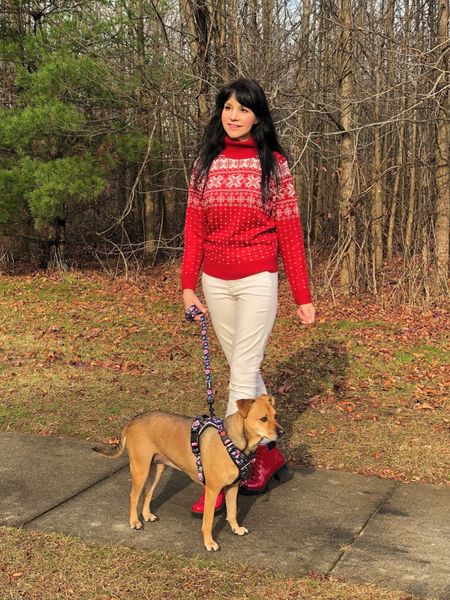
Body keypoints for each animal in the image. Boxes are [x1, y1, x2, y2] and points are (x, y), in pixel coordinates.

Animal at [93, 394, 284, 552]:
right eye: (263, 418)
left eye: (276, 416)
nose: (282, 432)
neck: (233, 441)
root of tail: (134, 419)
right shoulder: (212, 490)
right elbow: (208, 520)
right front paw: (209, 542)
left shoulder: (232, 487)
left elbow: (231, 511)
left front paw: (236, 528)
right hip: (141, 468)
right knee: (134, 496)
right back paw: (134, 521)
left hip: (156, 469)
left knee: (147, 492)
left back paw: (146, 515)